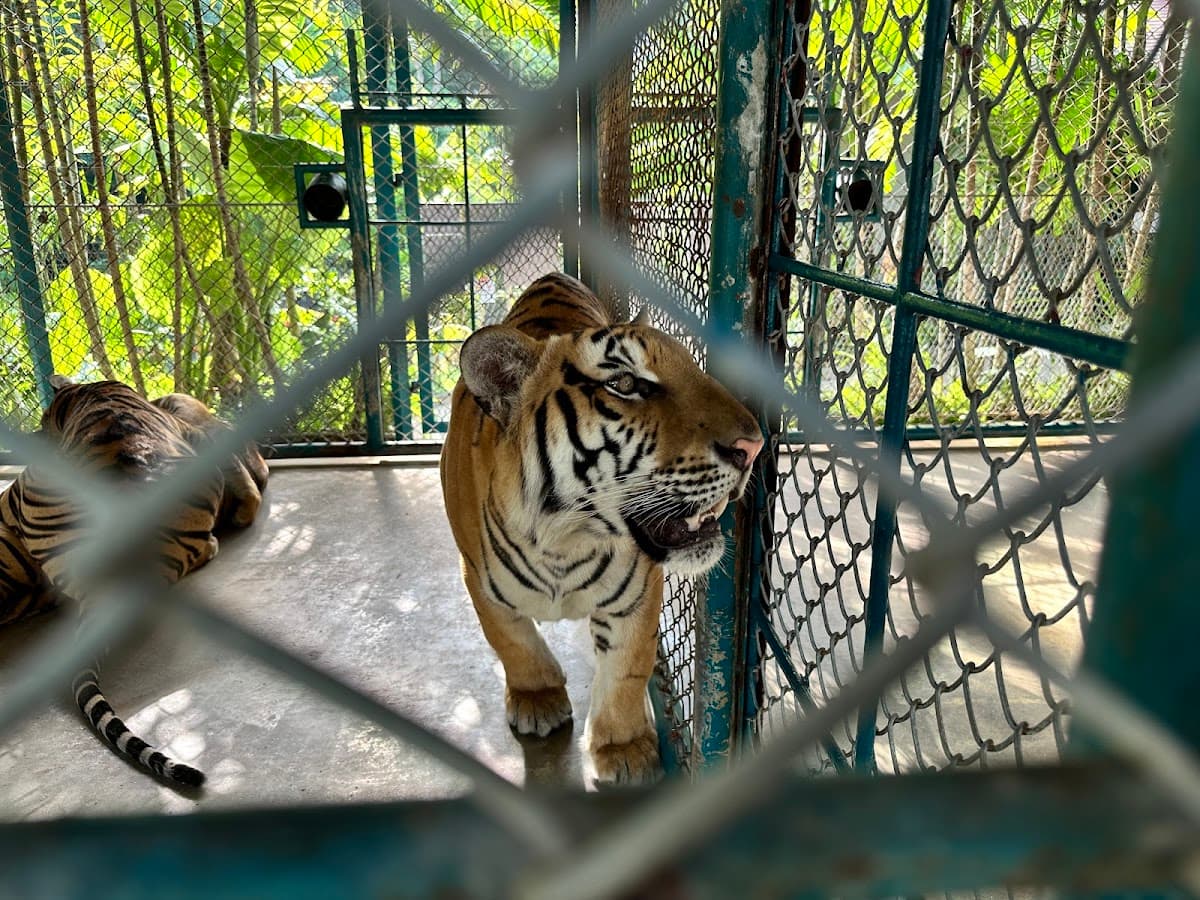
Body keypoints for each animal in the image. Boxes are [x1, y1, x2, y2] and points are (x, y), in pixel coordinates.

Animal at [441, 273, 763, 786]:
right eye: (625, 383)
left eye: (695, 369)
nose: (754, 447)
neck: (564, 540)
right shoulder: (477, 579)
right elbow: (513, 642)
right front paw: (538, 701)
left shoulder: (638, 594)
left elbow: (627, 671)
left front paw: (624, 749)